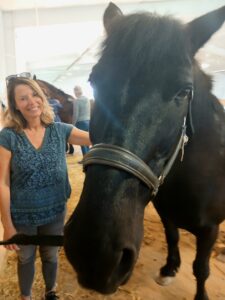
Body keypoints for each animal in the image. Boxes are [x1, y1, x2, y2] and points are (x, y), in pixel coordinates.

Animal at [62, 2, 225, 300]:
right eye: (94, 80)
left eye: (184, 92)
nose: (95, 254)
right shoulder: (165, 212)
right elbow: (173, 237)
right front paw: (169, 269)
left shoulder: (210, 229)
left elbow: (201, 268)